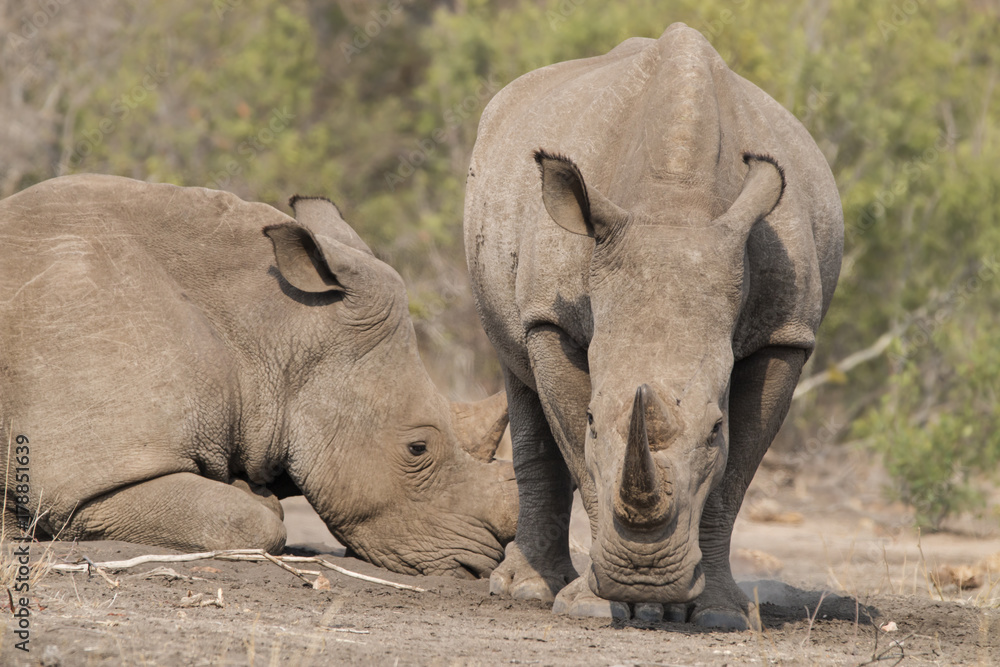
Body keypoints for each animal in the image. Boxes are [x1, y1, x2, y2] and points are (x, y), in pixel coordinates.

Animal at [464, 24, 843, 628]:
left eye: (714, 428)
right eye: (594, 420)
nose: (645, 575)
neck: (675, 204)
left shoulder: (785, 335)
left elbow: (735, 474)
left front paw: (718, 614)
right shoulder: (553, 316)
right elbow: (579, 450)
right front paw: (594, 606)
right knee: (515, 369)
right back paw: (526, 591)